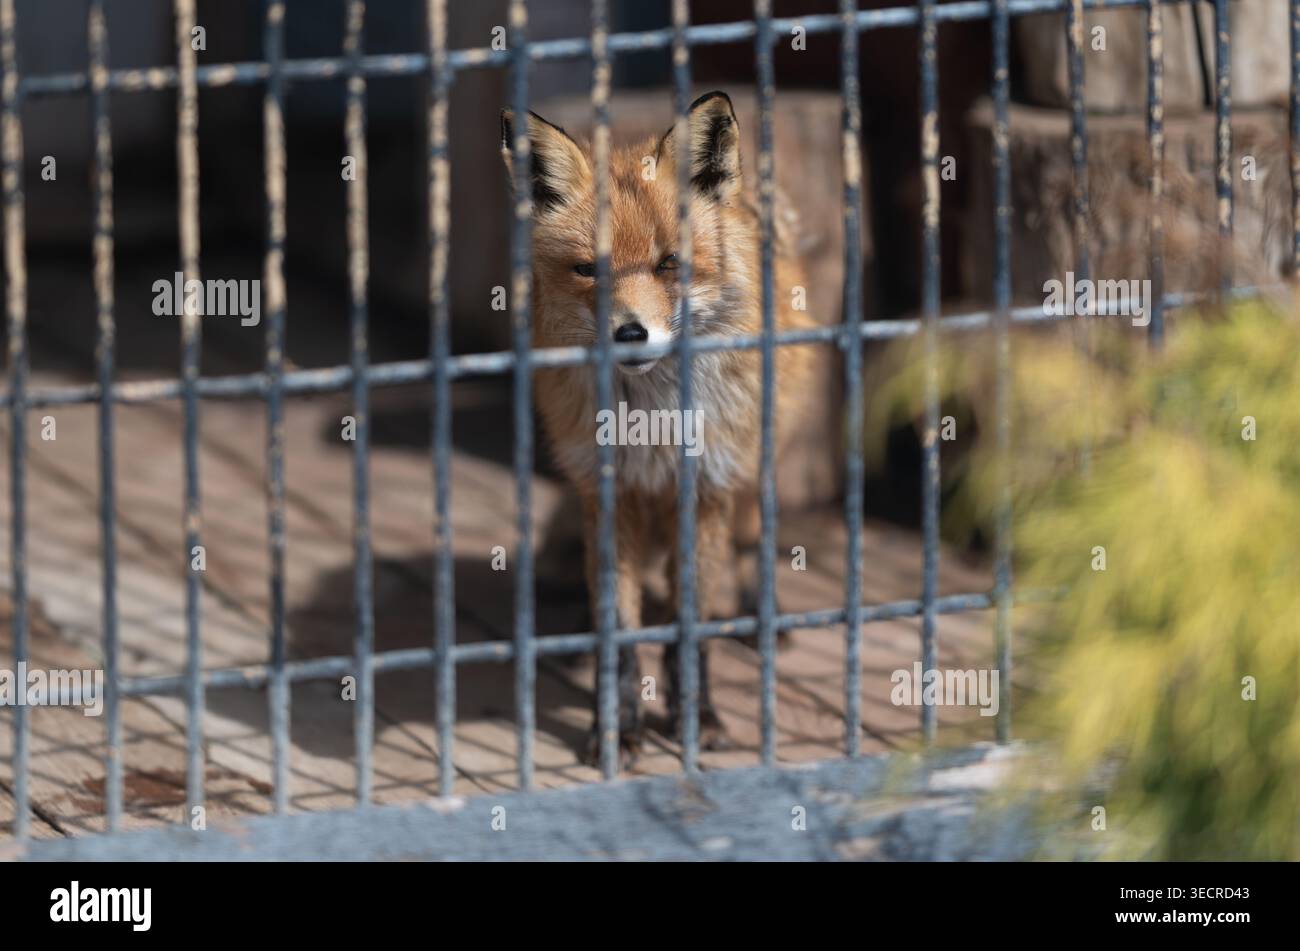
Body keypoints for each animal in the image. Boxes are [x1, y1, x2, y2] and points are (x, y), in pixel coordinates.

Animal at [500, 91, 817, 764]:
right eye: (589, 270)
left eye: (672, 263)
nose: (630, 334)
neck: (654, 424)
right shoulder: (608, 491)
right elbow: (619, 629)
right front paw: (617, 727)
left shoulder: (707, 489)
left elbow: (687, 622)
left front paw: (696, 716)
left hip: (755, 463)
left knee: (753, 540)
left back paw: (762, 617)